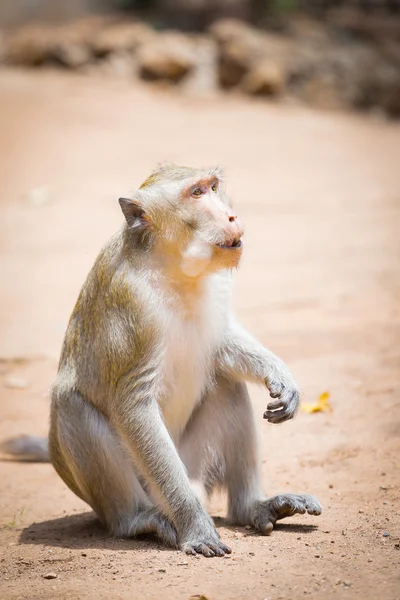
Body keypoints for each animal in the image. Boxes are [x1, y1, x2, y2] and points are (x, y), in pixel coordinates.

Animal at [0, 165, 322, 556]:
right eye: (196, 193)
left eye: (213, 187)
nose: (231, 215)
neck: (173, 268)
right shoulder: (133, 306)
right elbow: (133, 404)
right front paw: (195, 525)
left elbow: (221, 345)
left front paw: (279, 375)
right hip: (146, 488)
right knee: (71, 405)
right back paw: (138, 520)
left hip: (195, 464)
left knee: (226, 382)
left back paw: (252, 507)